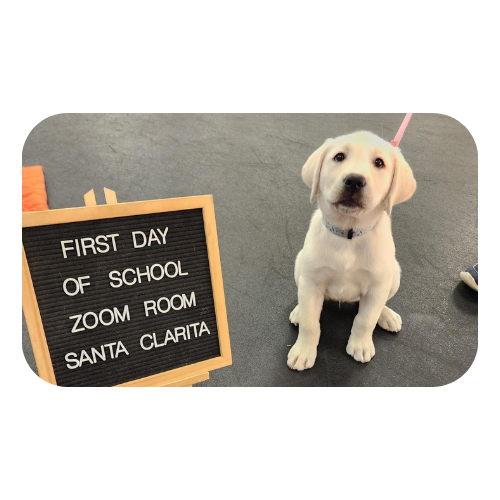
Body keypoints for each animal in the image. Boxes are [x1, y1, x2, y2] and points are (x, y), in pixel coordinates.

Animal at [288, 131, 417, 371]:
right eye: (339, 157)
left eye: (379, 163)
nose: (355, 180)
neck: (348, 234)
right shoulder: (312, 280)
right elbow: (311, 323)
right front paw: (303, 351)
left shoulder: (377, 287)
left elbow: (365, 320)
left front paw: (361, 345)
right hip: (299, 266)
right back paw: (299, 311)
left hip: (394, 276)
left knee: (379, 306)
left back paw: (387, 315)